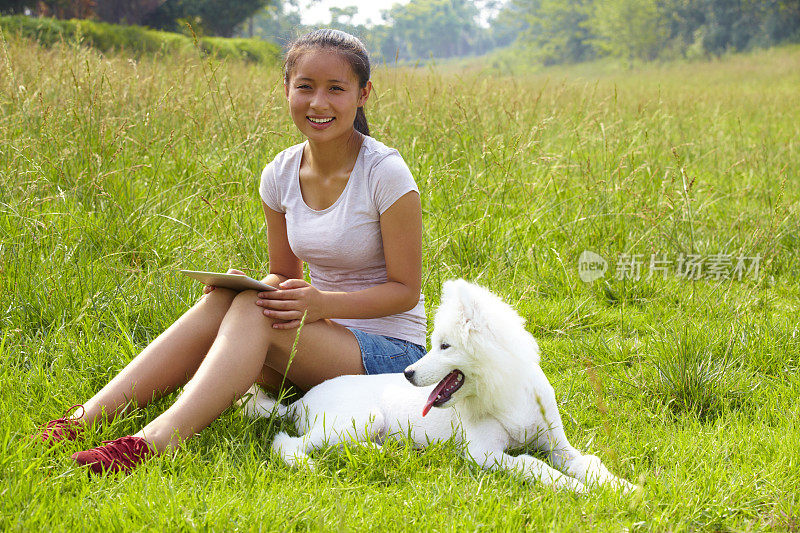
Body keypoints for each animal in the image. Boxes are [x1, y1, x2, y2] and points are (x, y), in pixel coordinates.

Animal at [241, 280, 636, 492]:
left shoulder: (560, 447)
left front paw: (623, 488)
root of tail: (300, 403)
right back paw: (311, 464)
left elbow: (590, 463)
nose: (407, 374)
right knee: (288, 443)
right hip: (359, 418)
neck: (507, 394)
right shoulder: (483, 453)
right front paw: (574, 488)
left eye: (445, 346)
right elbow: (530, 464)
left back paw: (386, 452)